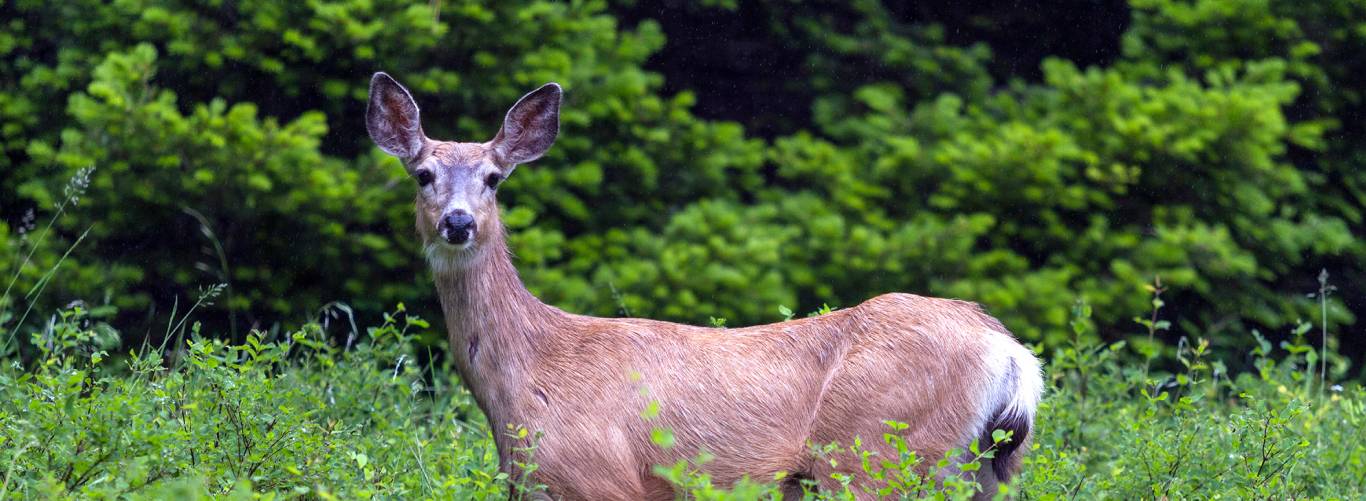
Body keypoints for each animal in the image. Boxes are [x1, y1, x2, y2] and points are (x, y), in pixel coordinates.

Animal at [366, 71, 1043, 501]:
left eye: (494, 177)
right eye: (423, 174)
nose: (458, 222)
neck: (525, 376)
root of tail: (1010, 353)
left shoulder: (600, 477)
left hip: (875, 453)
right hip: (981, 471)